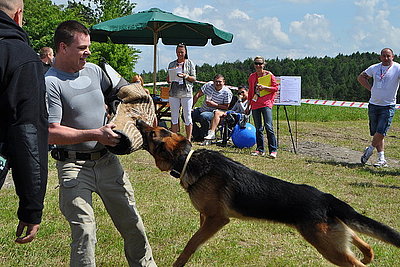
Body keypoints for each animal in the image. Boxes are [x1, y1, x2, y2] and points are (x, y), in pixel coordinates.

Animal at [136, 120, 400, 266]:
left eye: (152, 133)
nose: (138, 121)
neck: (187, 160)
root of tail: (326, 198)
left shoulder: (217, 219)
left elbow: (190, 244)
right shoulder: (206, 218)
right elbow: (196, 241)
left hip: (327, 245)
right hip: (334, 235)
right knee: (364, 243)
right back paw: (368, 255)